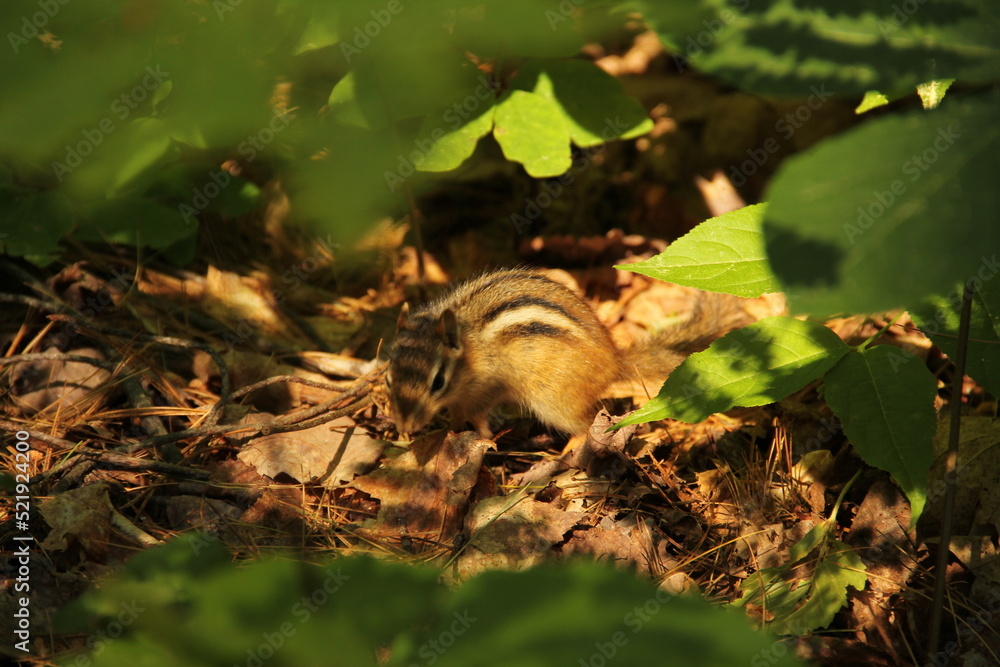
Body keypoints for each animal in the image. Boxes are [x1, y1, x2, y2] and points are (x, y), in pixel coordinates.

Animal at [387, 268, 748, 438]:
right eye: (388, 378)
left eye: (437, 382)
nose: (403, 427)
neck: (470, 351)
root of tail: (614, 363)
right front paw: (448, 430)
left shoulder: (487, 388)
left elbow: (478, 416)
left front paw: (483, 438)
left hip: (554, 400)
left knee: (586, 425)